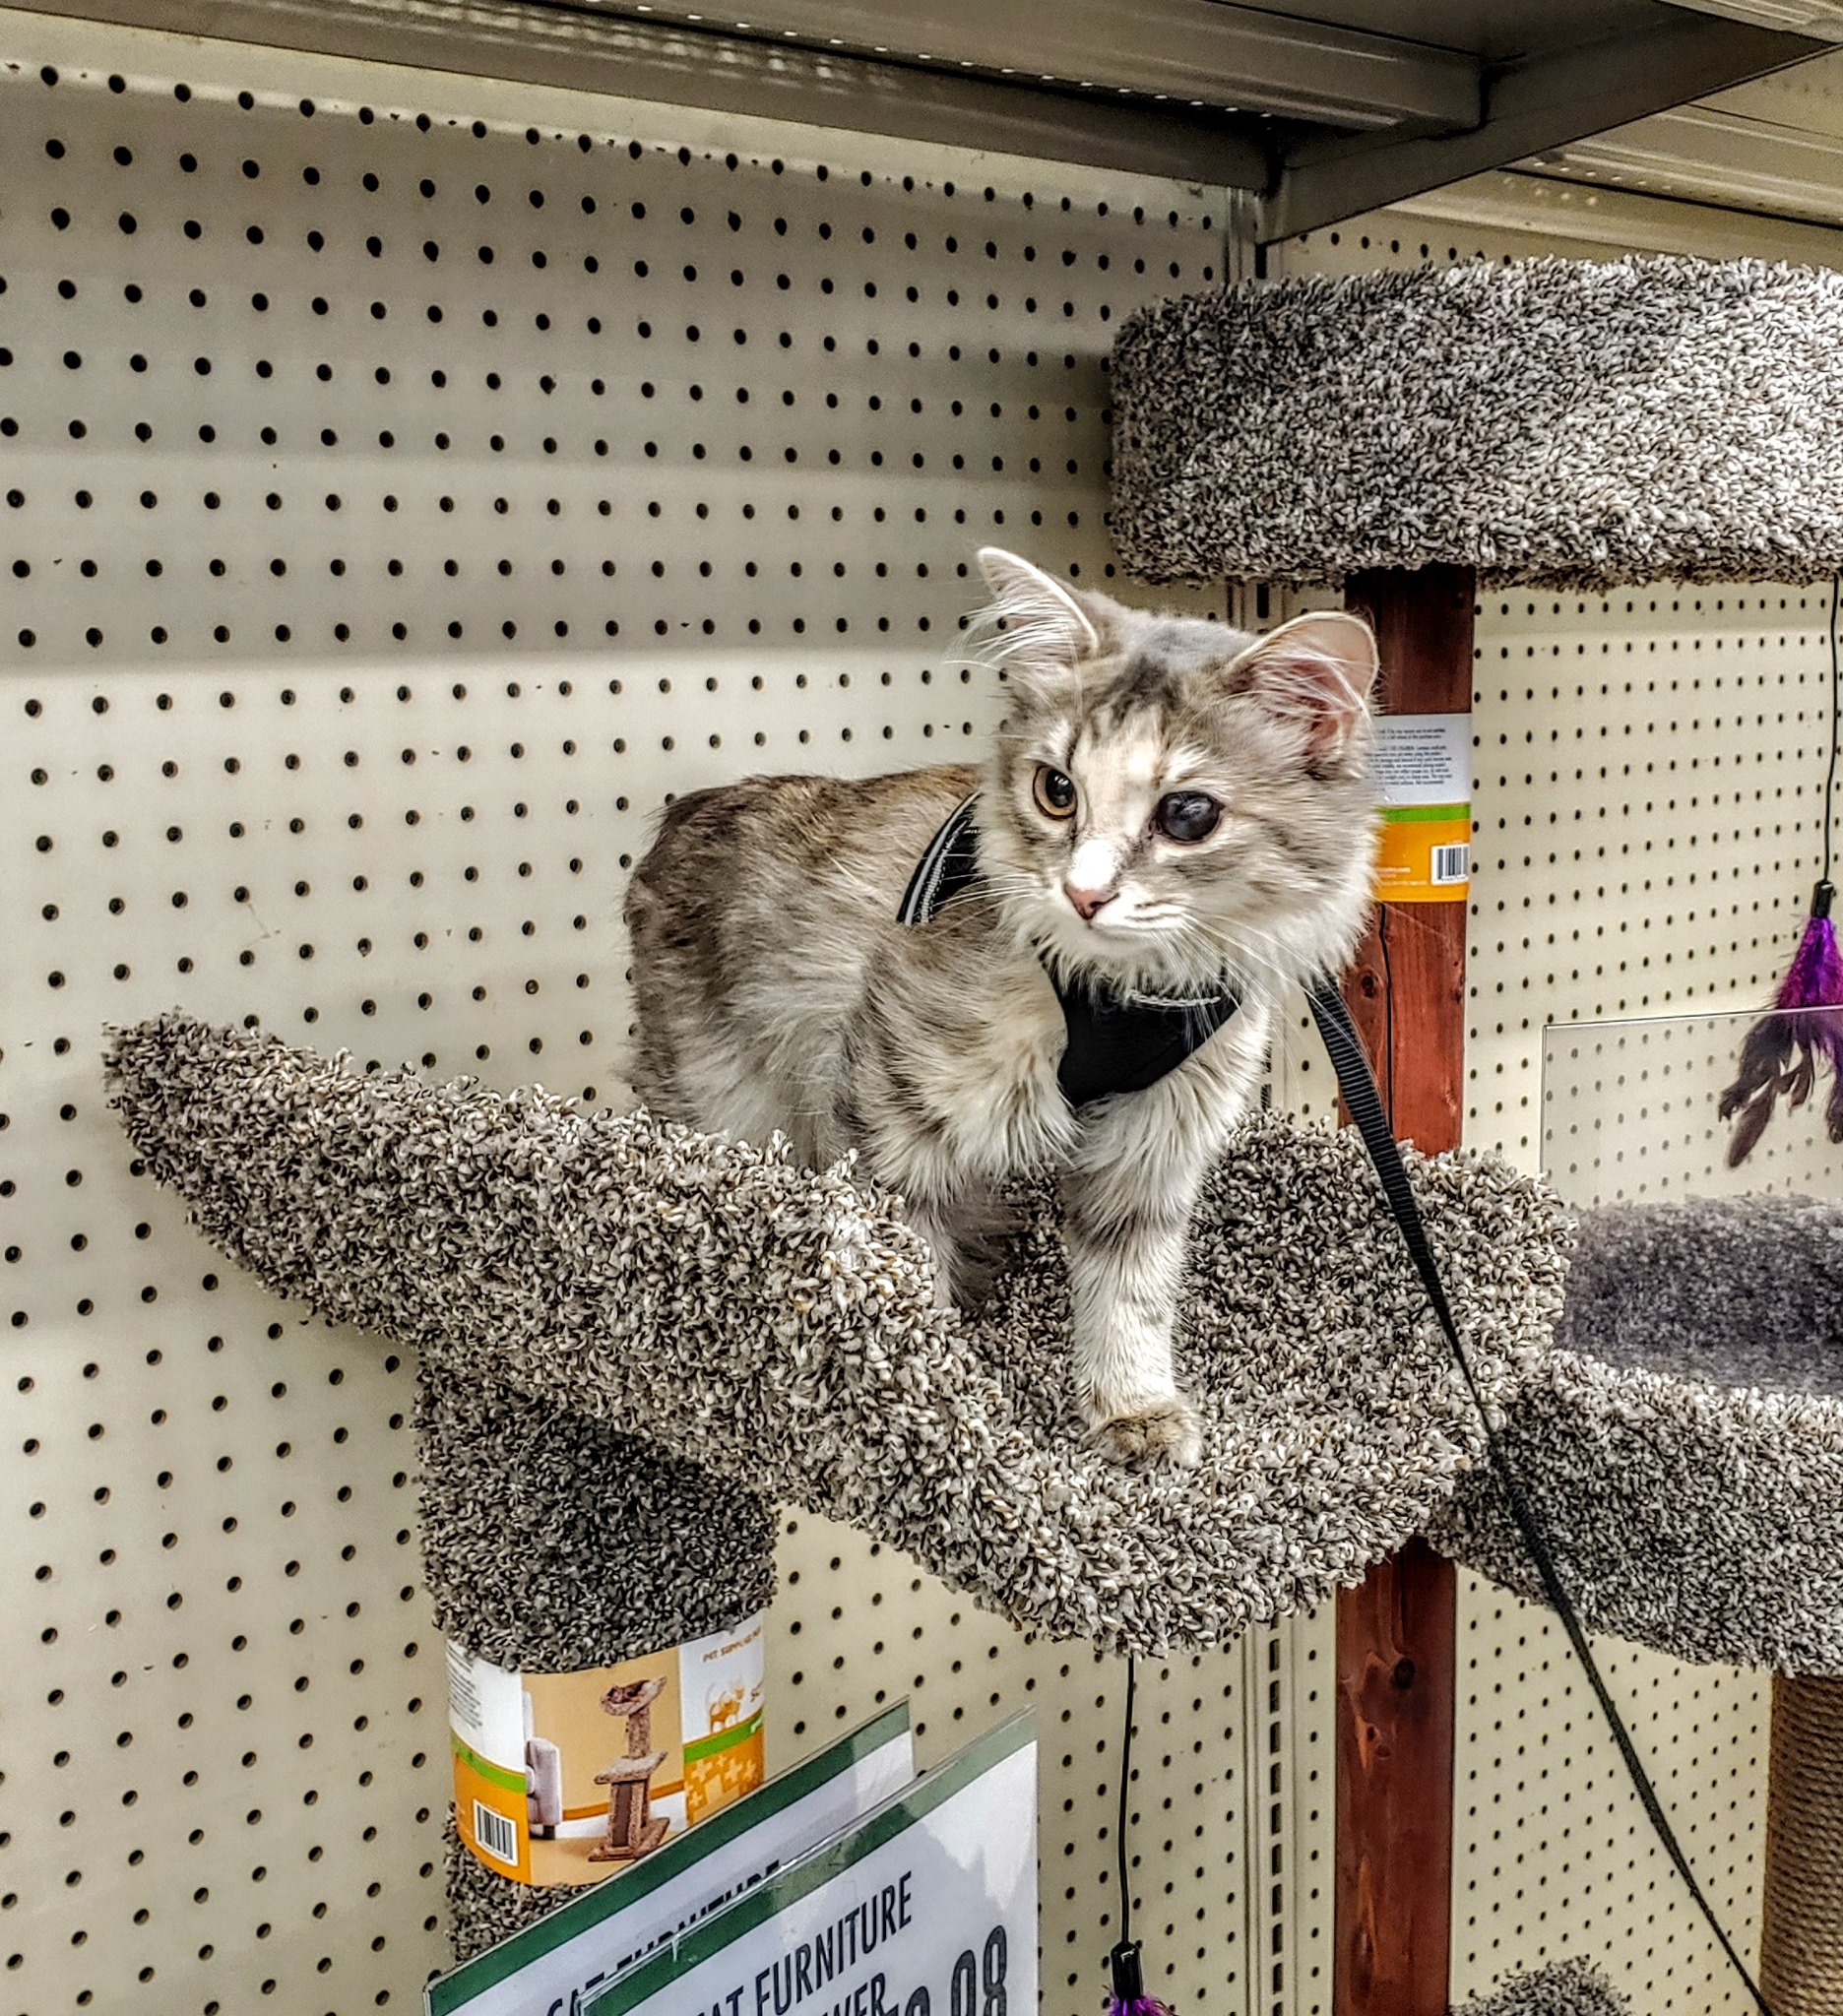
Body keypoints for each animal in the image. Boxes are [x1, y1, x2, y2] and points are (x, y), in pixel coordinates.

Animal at [624, 549, 1380, 1468]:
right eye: (1056, 790)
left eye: (1188, 814)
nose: (1084, 895)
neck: (1117, 995)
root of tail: (677, 816)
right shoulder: (891, 1114)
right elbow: (905, 1284)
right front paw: (941, 1419)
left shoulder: (1154, 1146)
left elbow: (1130, 1297)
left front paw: (1132, 1411)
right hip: (724, 1111)